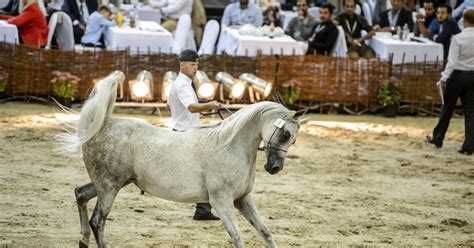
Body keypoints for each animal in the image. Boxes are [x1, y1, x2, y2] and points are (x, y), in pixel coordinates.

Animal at [59, 70, 310, 247]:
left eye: (293, 140)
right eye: (286, 134)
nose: (274, 167)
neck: (230, 147)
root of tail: (102, 125)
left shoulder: (242, 200)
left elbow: (265, 232)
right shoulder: (222, 202)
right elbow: (238, 238)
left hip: (109, 184)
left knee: (80, 195)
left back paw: (82, 241)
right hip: (109, 188)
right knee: (97, 222)